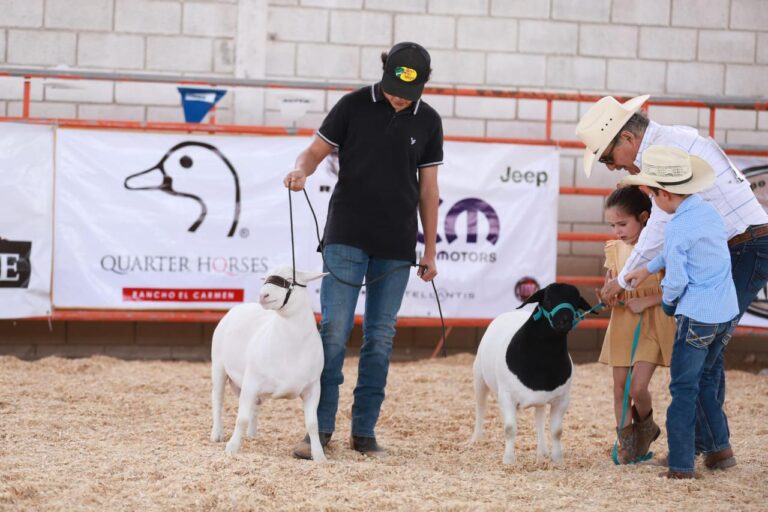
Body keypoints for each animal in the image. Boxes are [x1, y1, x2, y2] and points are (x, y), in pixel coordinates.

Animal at [210, 266, 328, 462]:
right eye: (265, 278)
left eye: (290, 279)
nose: (263, 295)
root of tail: (241, 306)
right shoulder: (251, 382)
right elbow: (241, 418)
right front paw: (232, 448)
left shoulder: (313, 387)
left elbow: (313, 424)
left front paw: (319, 456)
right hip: (218, 366)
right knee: (218, 400)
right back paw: (217, 434)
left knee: (254, 407)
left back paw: (251, 434)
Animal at [468, 282, 592, 466]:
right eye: (547, 298)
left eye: (576, 301)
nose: (564, 321)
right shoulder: (506, 397)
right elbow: (510, 428)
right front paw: (508, 460)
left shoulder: (562, 399)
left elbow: (557, 431)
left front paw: (557, 459)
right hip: (479, 377)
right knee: (480, 407)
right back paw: (475, 439)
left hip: (540, 400)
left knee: (539, 420)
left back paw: (542, 452)